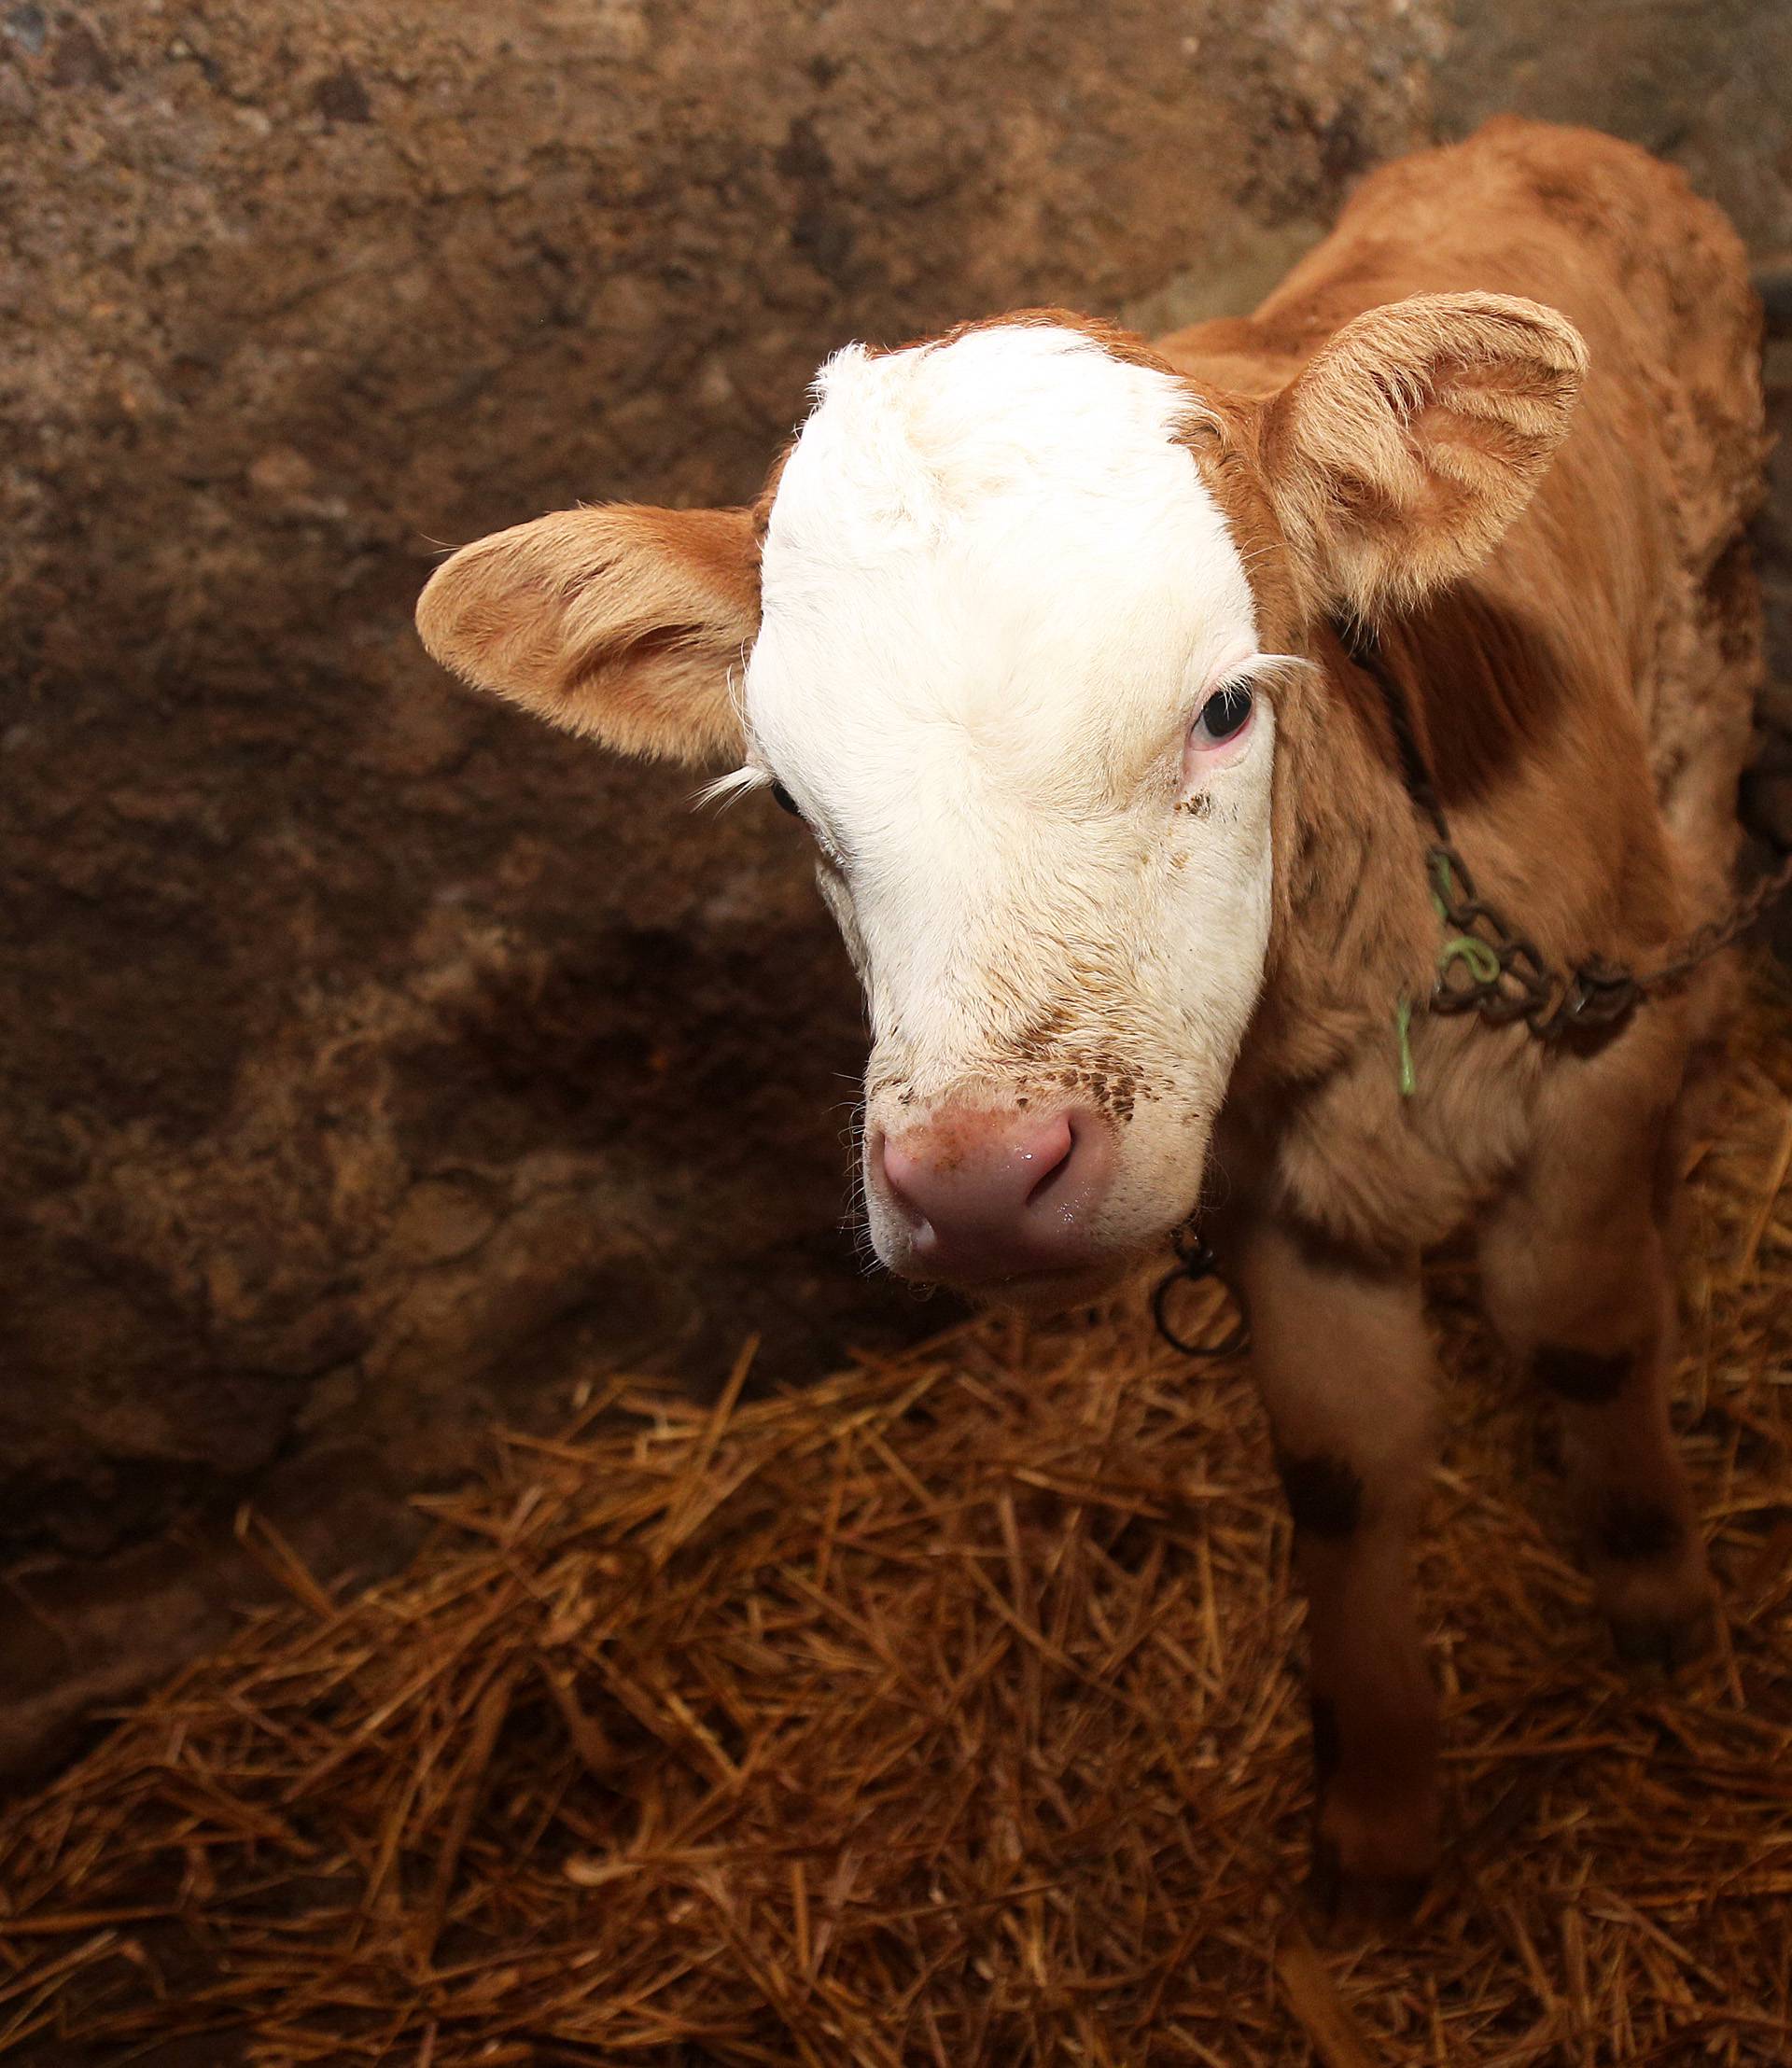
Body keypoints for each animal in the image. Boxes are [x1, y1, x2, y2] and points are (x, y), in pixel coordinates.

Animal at [407, 117, 1762, 1919]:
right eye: (792, 801)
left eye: (1227, 706)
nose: (982, 1175)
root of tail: (1541, 136)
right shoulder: (1261, 1180)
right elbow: (1340, 1462)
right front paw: (1378, 1816)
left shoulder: (1596, 1045)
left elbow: (1587, 1330)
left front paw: (1661, 1600)